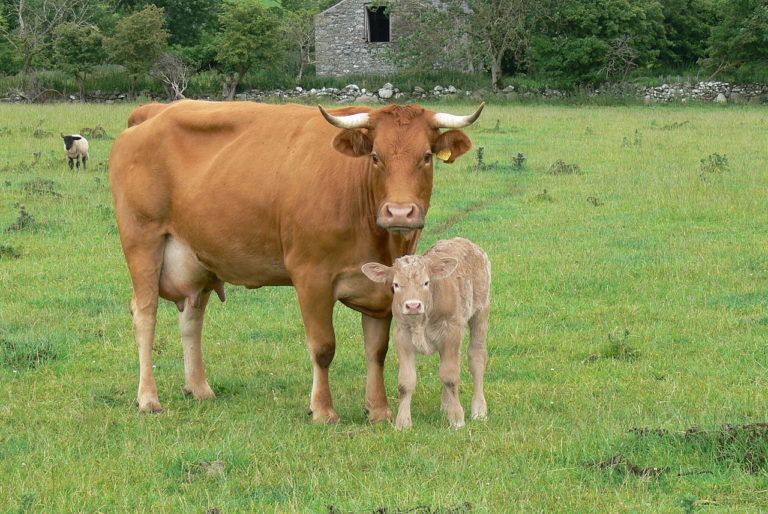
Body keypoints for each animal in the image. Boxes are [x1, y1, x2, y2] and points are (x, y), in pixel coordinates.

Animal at [109, 99, 480, 420]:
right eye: (375, 157)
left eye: (427, 156)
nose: (400, 212)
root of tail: (155, 111)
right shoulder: (311, 277)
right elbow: (323, 347)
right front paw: (323, 410)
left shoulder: (383, 288)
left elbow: (377, 350)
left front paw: (379, 410)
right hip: (143, 240)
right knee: (145, 315)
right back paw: (148, 398)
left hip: (197, 253)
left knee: (192, 316)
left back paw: (199, 388)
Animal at [362, 237, 492, 428]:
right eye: (396, 284)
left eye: (426, 282)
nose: (413, 305)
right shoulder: (402, 335)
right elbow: (406, 382)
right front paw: (403, 422)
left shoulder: (452, 331)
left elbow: (450, 376)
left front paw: (457, 419)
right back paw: (446, 405)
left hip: (481, 311)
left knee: (476, 357)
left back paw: (479, 409)